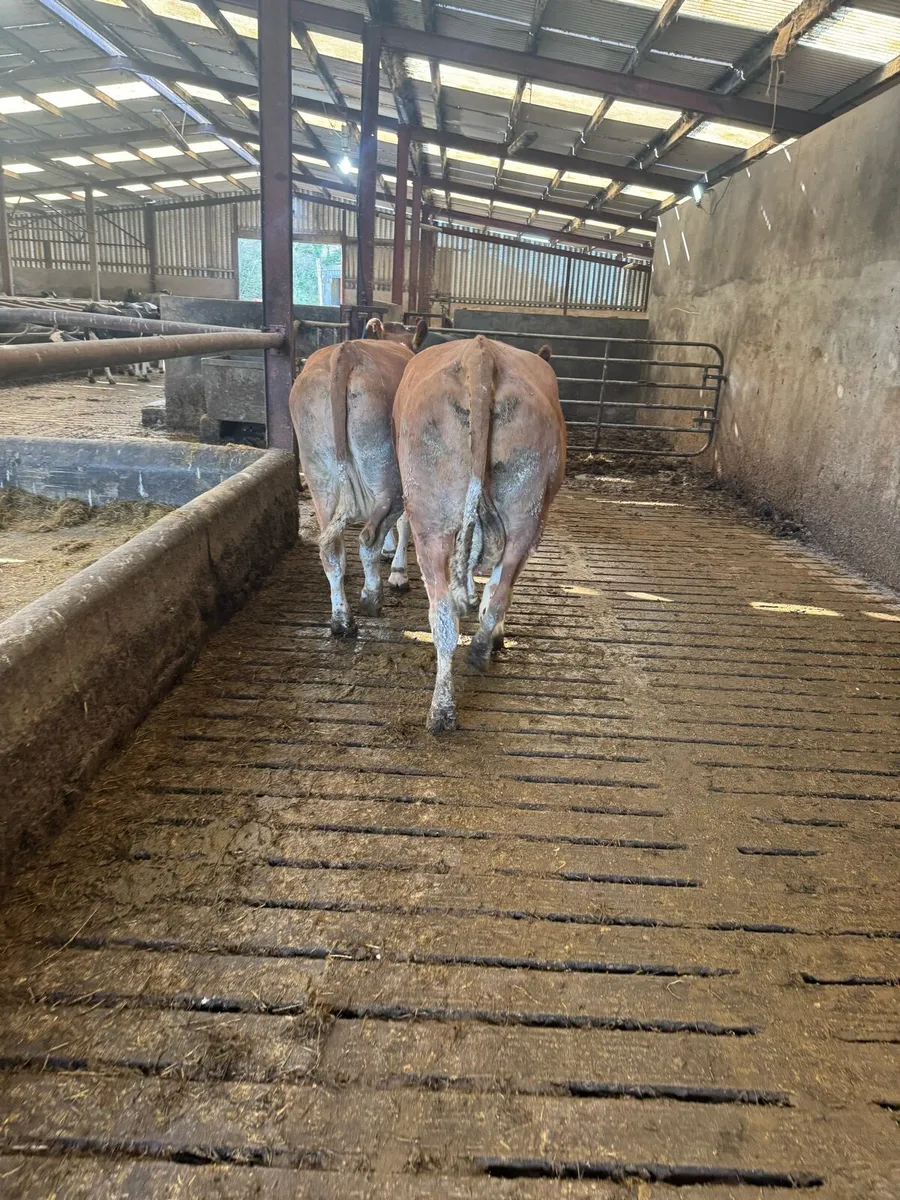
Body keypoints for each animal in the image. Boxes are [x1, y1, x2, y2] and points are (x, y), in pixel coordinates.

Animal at [290, 318, 428, 636]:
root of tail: (346, 352)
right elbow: (403, 525)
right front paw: (398, 572)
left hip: (319, 476)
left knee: (331, 549)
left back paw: (342, 619)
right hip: (388, 472)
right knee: (367, 538)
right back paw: (371, 598)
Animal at [394, 335, 565, 732]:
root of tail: (480, 352)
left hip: (432, 520)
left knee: (443, 615)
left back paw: (442, 709)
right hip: (524, 515)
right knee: (495, 594)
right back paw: (479, 653)